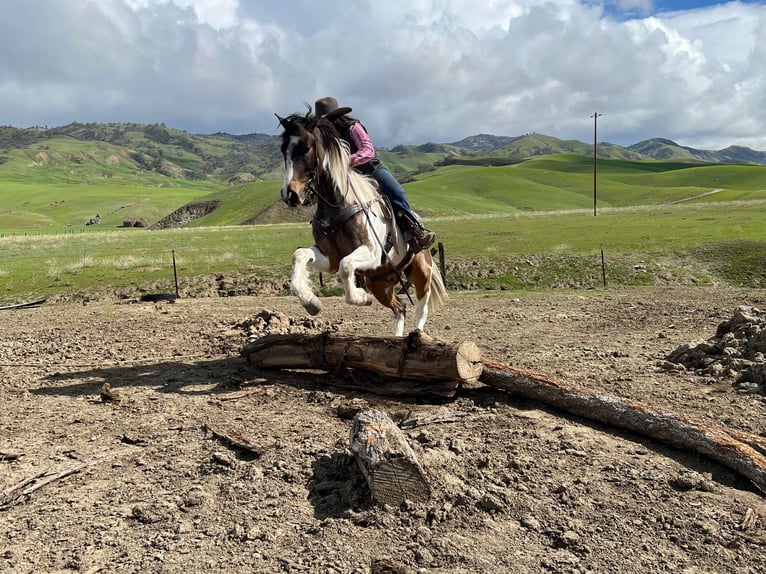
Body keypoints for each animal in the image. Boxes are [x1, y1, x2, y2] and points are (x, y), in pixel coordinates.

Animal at [276, 108, 448, 338]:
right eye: (283, 150)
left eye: (305, 148)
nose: (290, 195)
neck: (338, 203)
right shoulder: (330, 257)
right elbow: (300, 255)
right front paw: (311, 302)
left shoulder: (372, 253)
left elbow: (346, 266)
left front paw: (361, 297)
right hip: (380, 282)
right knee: (400, 307)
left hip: (420, 271)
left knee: (422, 306)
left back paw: (417, 336)